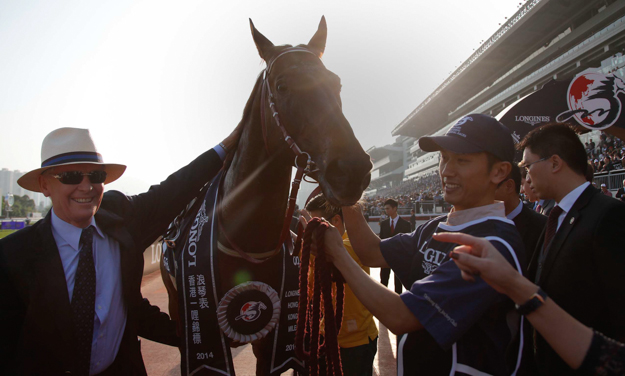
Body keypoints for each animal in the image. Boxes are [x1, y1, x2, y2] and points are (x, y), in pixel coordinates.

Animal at [161, 17, 372, 376]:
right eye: (283, 86)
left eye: (337, 83)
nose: (352, 169)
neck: (247, 238)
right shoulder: (205, 331)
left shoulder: (272, 336)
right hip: (178, 309)